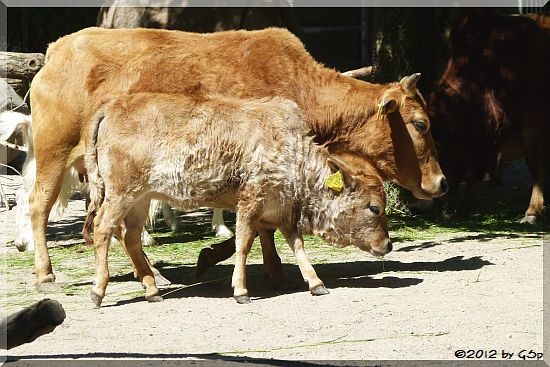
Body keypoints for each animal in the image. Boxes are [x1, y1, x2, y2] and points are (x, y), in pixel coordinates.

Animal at [87, 92, 392, 308]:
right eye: (374, 207)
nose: (387, 244)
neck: (291, 151)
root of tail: (109, 109)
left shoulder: (282, 209)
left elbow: (296, 245)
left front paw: (316, 283)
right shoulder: (250, 203)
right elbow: (244, 243)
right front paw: (241, 291)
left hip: (141, 198)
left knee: (131, 237)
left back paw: (152, 290)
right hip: (121, 194)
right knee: (103, 229)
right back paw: (98, 292)